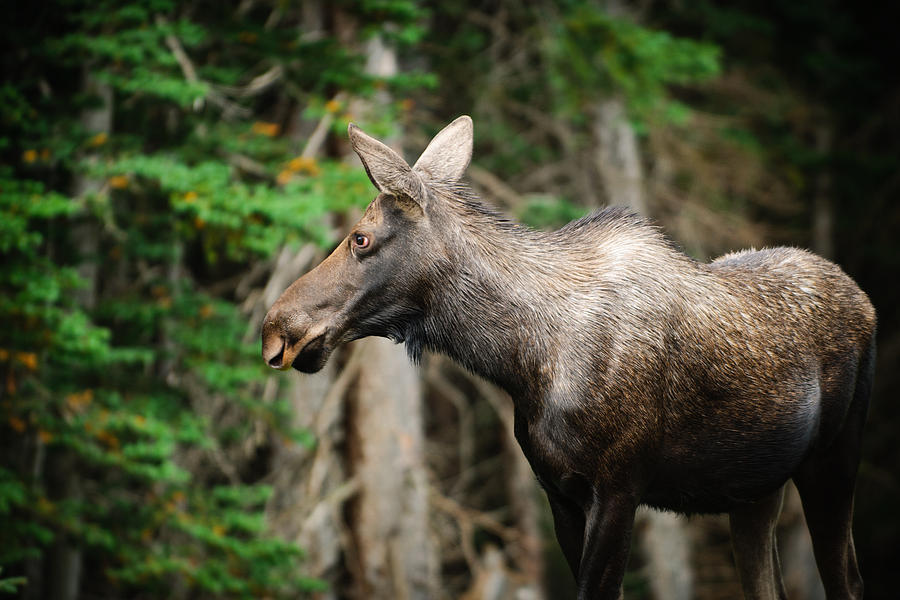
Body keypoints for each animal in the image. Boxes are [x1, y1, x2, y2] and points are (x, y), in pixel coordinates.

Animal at [258, 117, 872, 600]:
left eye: (360, 238)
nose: (276, 330)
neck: (518, 362)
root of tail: (864, 300)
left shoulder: (619, 489)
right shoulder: (559, 494)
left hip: (832, 463)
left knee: (847, 579)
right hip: (755, 491)